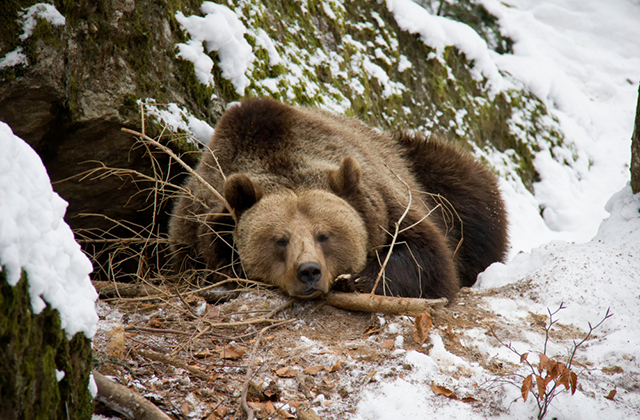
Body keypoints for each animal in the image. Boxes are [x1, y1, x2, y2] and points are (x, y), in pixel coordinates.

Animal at [168, 97, 508, 302]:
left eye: (325, 235)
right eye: (280, 239)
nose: (308, 271)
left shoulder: (388, 203)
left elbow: (425, 257)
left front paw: (357, 279)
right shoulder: (195, 227)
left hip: (432, 175)